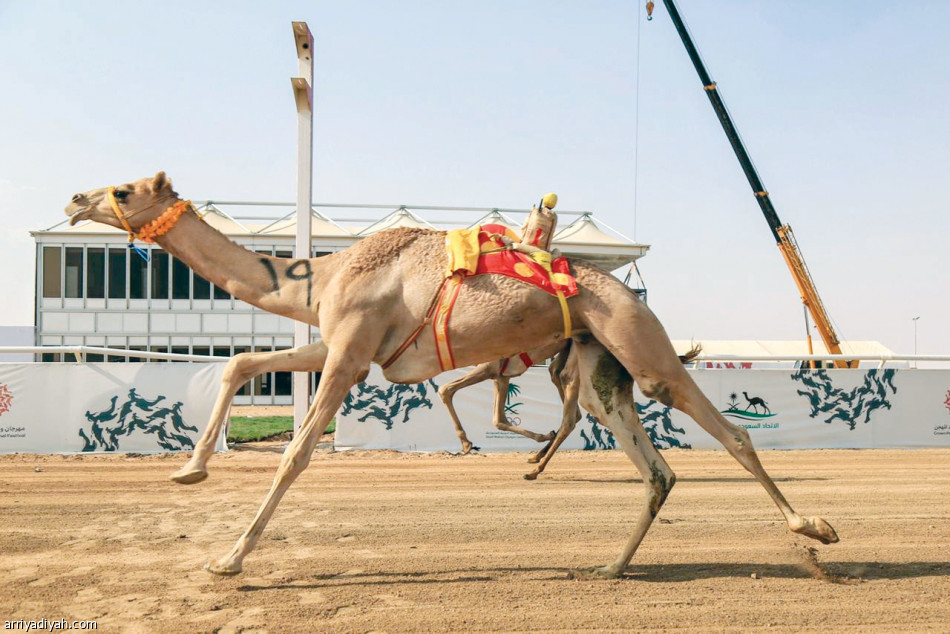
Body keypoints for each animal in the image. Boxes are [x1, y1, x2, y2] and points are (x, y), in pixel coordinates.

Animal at [65, 173, 840, 576]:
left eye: (123, 190)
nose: (73, 199)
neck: (321, 276)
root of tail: (632, 295)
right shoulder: (340, 346)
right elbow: (240, 363)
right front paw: (188, 470)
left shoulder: (349, 352)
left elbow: (296, 454)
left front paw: (229, 559)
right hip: (599, 364)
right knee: (653, 465)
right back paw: (609, 567)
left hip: (640, 347)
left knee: (730, 431)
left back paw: (816, 528)